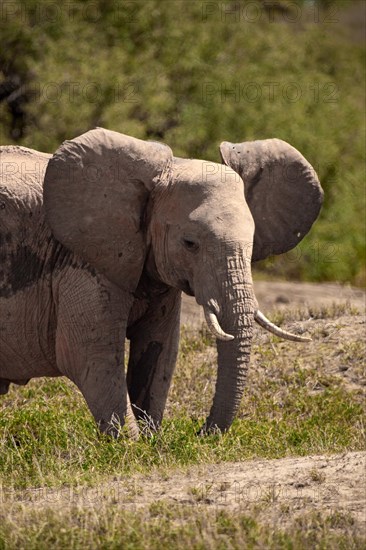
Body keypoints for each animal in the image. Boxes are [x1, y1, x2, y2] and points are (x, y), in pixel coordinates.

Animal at [0, 127, 324, 438]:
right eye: (190, 243)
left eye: (253, 242)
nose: (200, 432)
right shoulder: (82, 263)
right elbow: (89, 356)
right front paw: (131, 448)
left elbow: (160, 351)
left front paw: (151, 441)